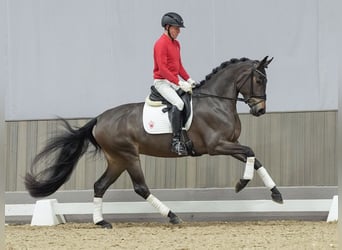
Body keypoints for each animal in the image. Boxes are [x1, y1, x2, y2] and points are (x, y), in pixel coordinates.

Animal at [25, 56, 284, 229]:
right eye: (259, 79)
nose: (260, 110)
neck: (217, 102)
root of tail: (100, 118)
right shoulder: (216, 146)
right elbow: (250, 151)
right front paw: (241, 184)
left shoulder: (230, 143)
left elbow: (255, 158)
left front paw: (276, 194)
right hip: (129, 156)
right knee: (141, 187)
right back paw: (172, 216)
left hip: (117, 159)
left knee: (100, 185)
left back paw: (101, 222)